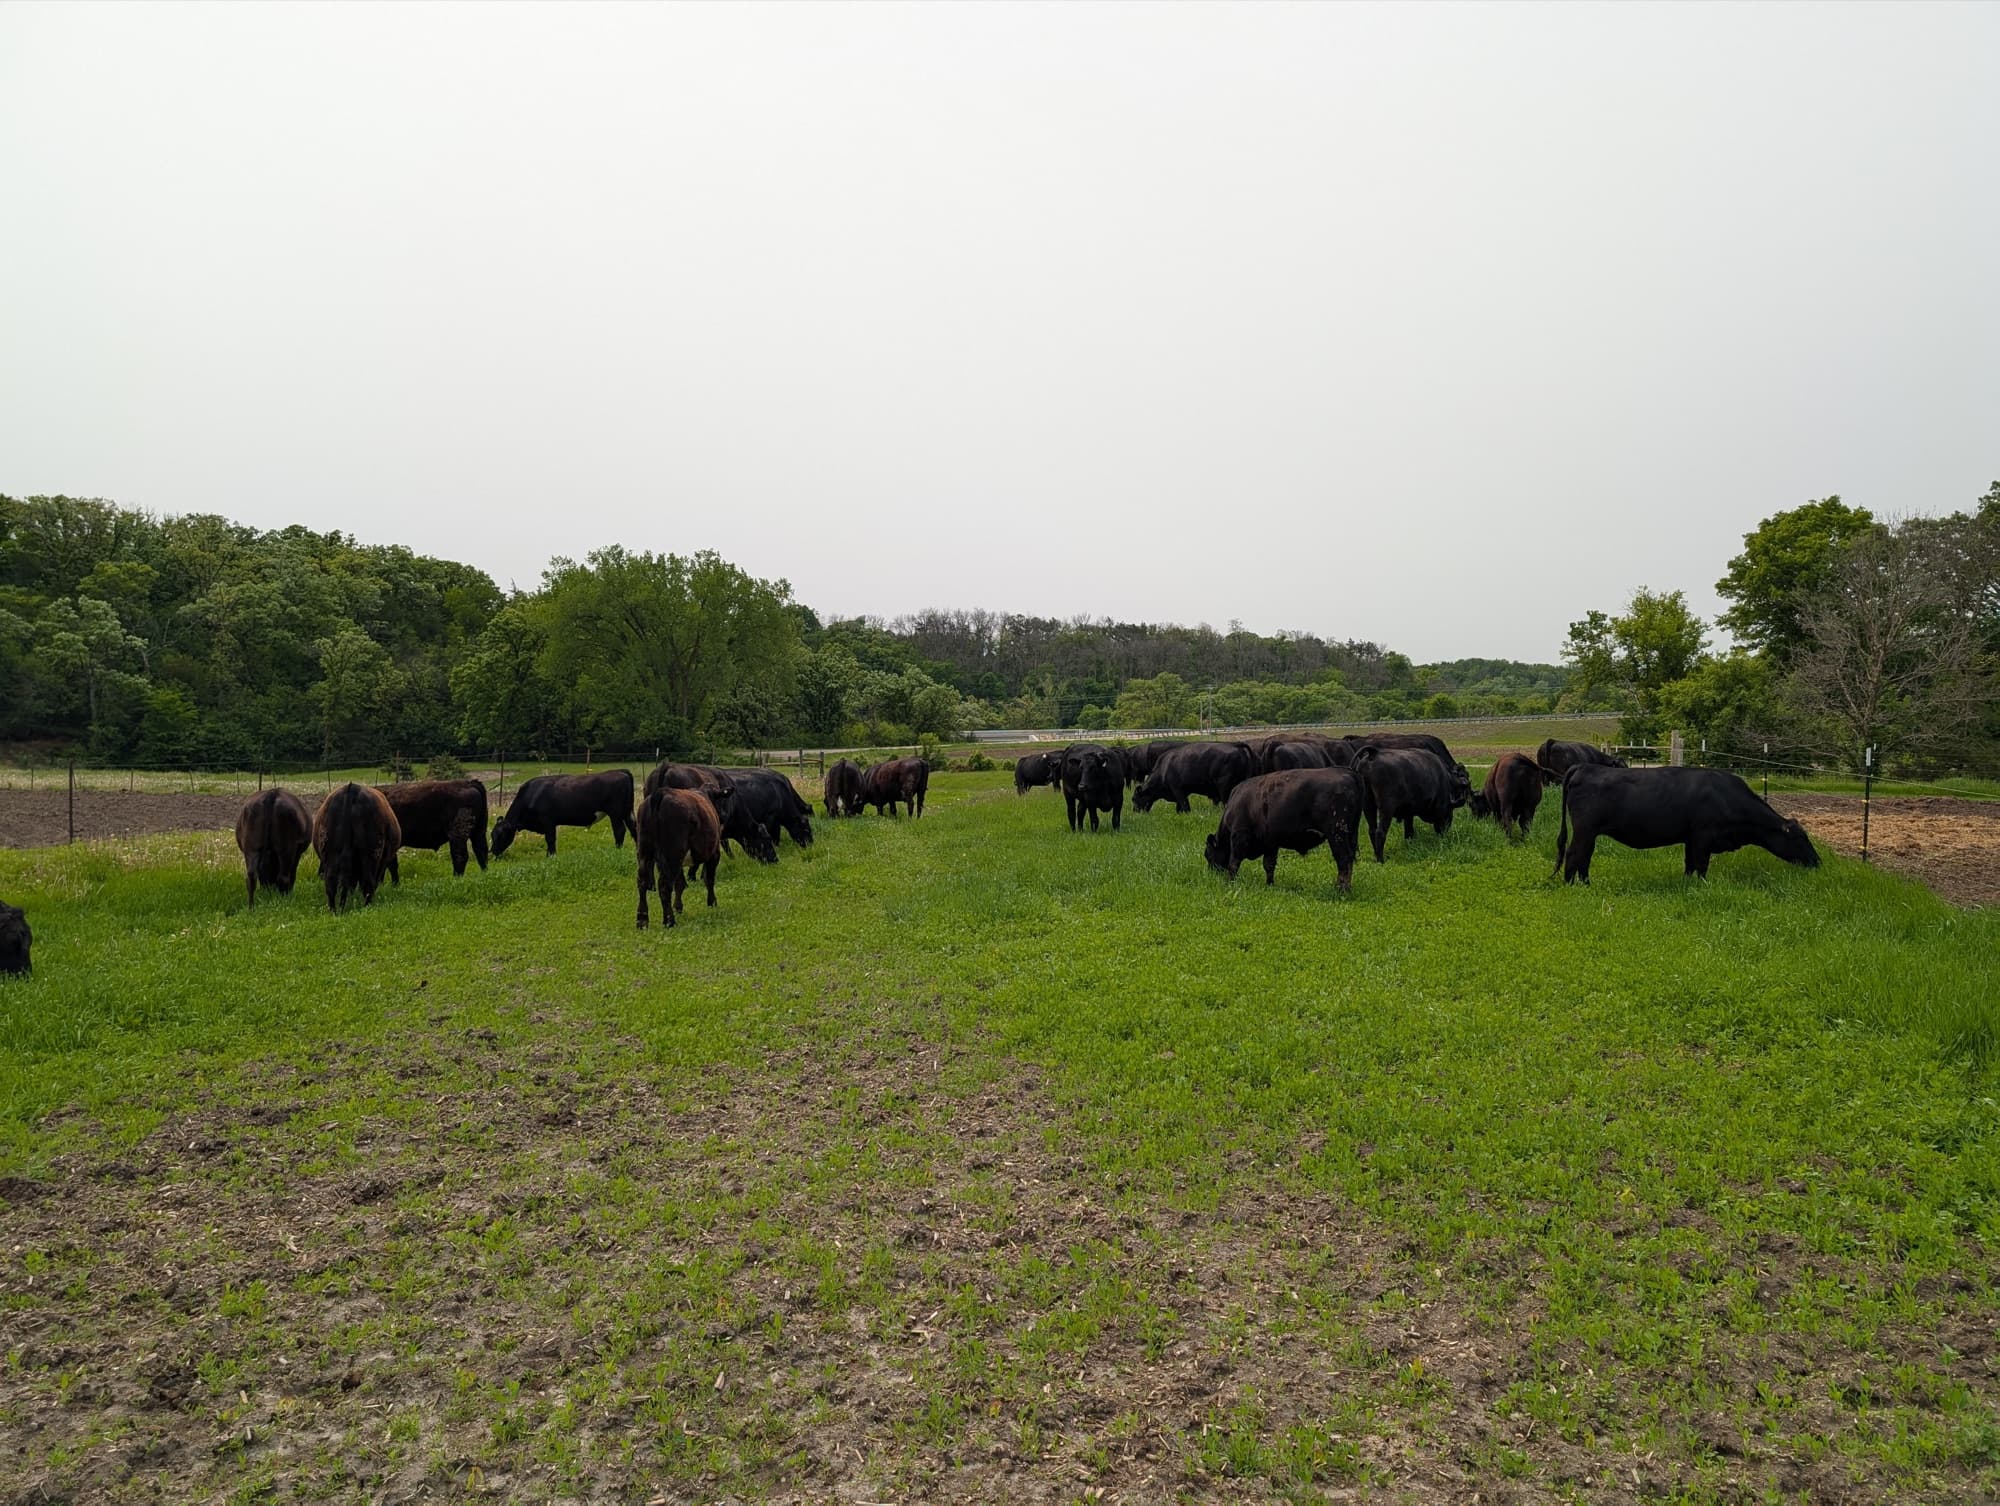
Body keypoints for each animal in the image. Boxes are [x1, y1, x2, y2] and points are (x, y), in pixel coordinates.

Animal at [312, 782, 400, 911]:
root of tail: (352, 789)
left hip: (330, 855)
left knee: (331, 883)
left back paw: (334, 910)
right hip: (371, 856)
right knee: (368, 883)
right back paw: (367, 907)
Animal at [490, 770, 634, 857]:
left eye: (501, 835)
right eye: (492, 835)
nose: (492, 851)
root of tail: (620, 771)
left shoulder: (548, 821)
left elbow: (550, 839)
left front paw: (552, 856)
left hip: (615, 813)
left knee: (619, 830)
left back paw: (617, 850)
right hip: (627, 812)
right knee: (633, 828)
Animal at [635, 785, 724, 928]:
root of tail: (660, 793)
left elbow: (679, 883)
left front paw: (678, 907)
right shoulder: (714, 853)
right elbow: (709, 879)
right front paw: (712, 903)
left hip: (645, 853)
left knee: (642, 883)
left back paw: (642, 920)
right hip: (672, 855)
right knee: (664, 886)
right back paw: (669, 920)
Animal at [1205, 768, 1365, 892]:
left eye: (1208, 855)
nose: (1211, 873)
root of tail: (1348, 772)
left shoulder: (1239, 837)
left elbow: (1234, 862)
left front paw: (1230, 882)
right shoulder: (1270, 844)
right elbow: (1269, 865)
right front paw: (1269, 884)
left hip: (1336, 834)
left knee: (1343, 859)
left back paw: (1341, 889)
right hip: (1349, 835)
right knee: (1349, 859)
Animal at [1554, 765, 1819, 883]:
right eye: (1801, 838)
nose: (1818, 861)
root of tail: (1586, 767)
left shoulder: (1691, 838)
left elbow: (1690, 864)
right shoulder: (1703, 836)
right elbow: (1701, 865)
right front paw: (1702, 886)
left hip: (1590, 833)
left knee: (1585, 856)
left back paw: (1585, 884)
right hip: (1585, 830)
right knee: (1574, 854)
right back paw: (1571, 885)